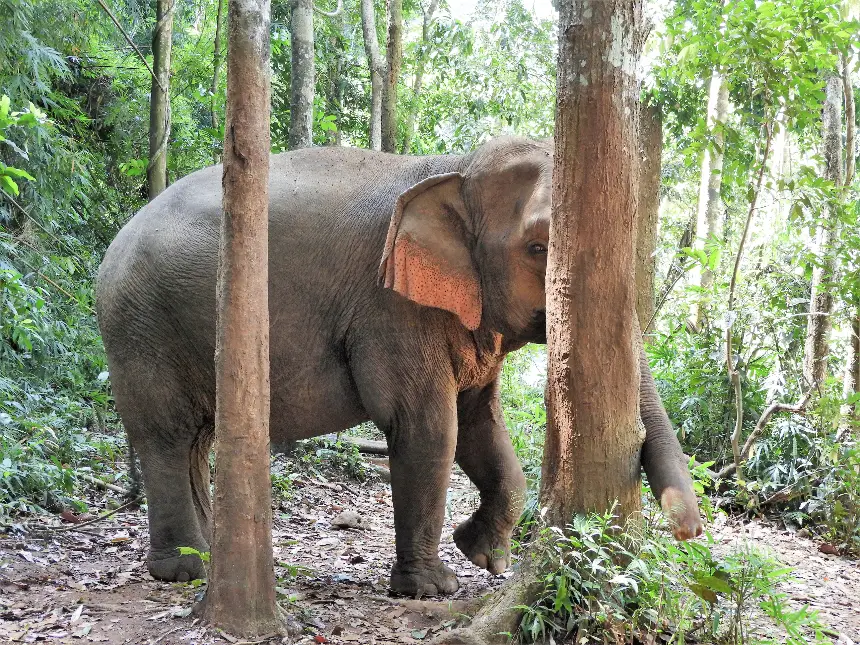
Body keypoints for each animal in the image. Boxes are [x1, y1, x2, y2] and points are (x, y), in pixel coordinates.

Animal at [95, 136, 700, 592]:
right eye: (536, 248)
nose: (690, 533)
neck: (456, 165)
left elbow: (479, 422)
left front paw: (483, 557)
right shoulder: (390, 308)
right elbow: (428, 426)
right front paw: (434, 588)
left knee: (196, 439)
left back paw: (207, 561)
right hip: (141, 327)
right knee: (167, 435)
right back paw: (184, 571)